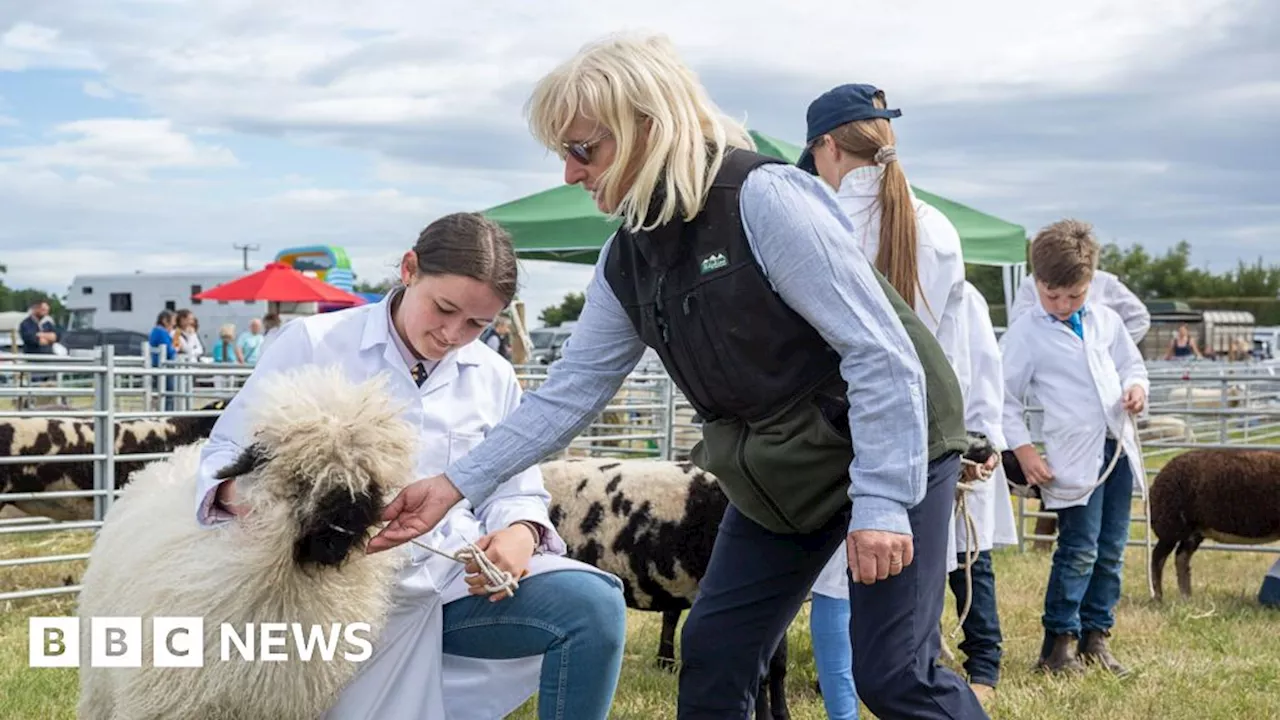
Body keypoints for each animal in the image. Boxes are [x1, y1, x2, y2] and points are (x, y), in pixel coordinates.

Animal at [1152, 448, 1280, 599]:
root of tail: (1161, 475)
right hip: (1171, 526)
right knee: (1158, 558)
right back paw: (1159, 597)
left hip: (1193, 531)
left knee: (1181, 558)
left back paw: (1187, 597)